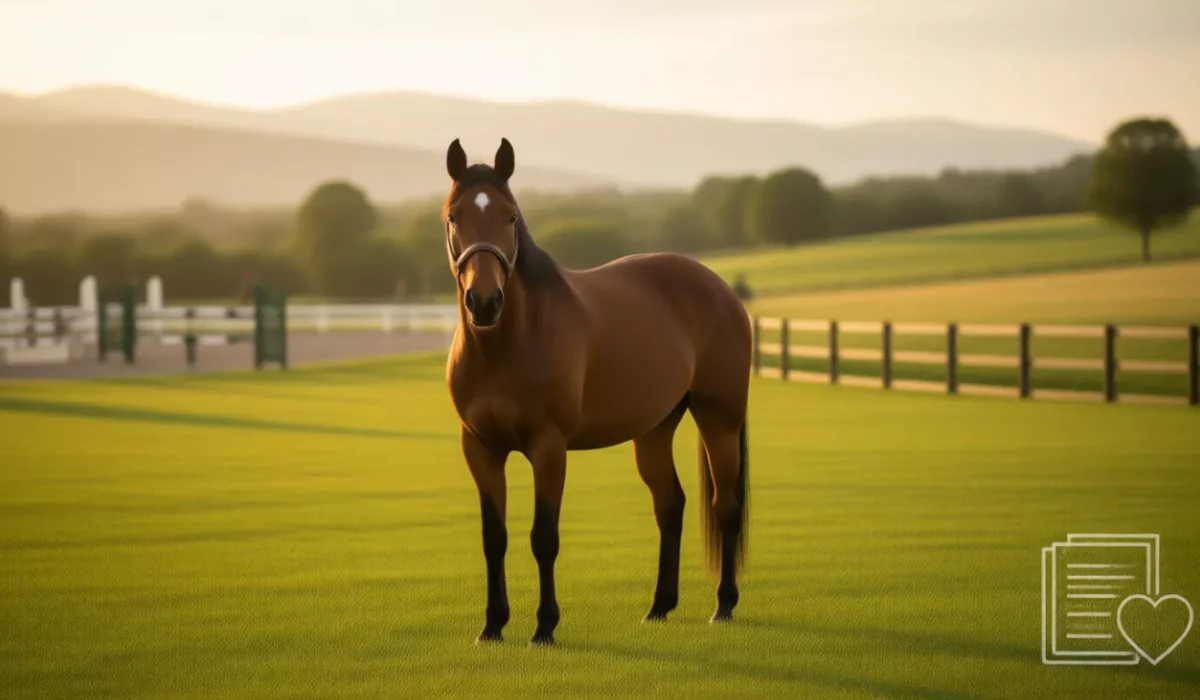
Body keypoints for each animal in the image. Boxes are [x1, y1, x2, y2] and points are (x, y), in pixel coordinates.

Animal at [442, 137, 752, 646]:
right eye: (454, 216)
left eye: (511, 217)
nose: (484, 302)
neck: (506, 344)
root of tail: (721, 288)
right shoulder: (480, 448)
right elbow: (495, 538)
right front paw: (492, 626)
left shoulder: (549, 447)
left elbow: (543, 537)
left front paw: (544, 627)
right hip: (654, 429)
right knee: (670, 505)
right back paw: (659, 607)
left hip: (718, 419)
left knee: (724, 504)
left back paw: (723, 606)